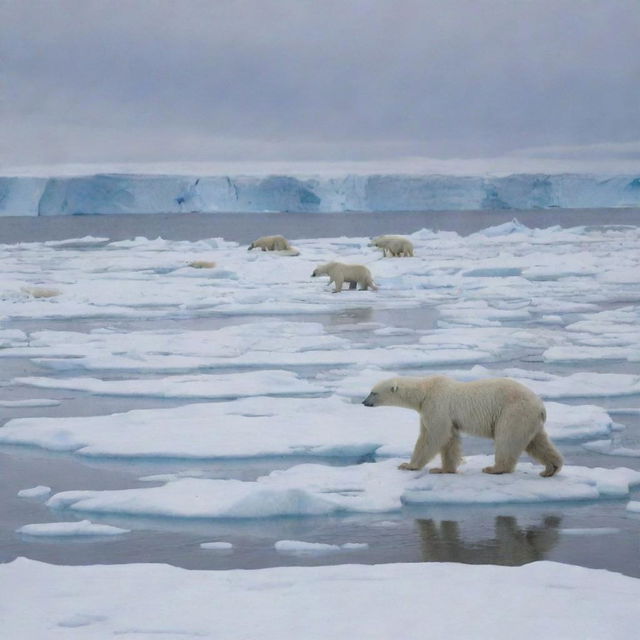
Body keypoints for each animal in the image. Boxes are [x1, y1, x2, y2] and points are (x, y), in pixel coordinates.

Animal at [362, 376, 564, 476]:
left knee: (507, 439)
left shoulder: (437, 406)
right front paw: (443, 469)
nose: (364, 402)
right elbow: (449, 440)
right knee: (537, 442)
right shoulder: (434, 412)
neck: (426, 391)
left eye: (373, 392)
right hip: (528, 418)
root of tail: (541, 406)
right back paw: (551, 468)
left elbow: (433, 436)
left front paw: (408, 465)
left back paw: (494, 468)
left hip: (513, 412)